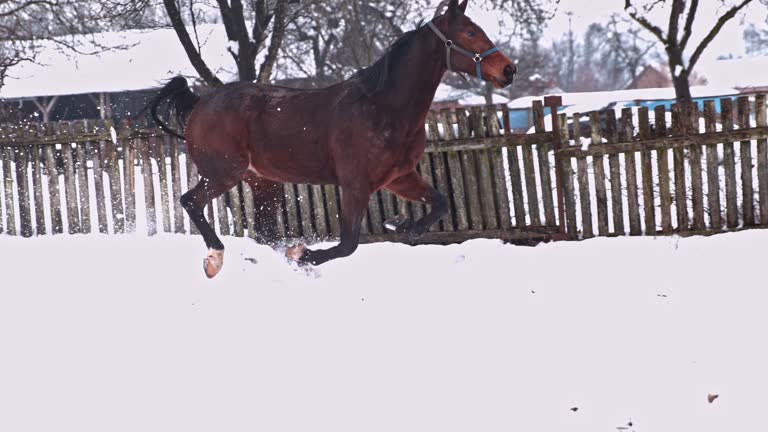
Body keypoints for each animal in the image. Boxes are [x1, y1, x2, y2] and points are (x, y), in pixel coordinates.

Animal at [146, 0, 516, 278]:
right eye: (470, 32)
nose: (508, 70)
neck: (383, 107)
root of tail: (200, 103)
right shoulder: (355, 184)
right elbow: (347, 244)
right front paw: (303, 255)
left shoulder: (399, 178)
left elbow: (440, 203)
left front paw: (404, 225)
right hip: (224, 173)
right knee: (190, 202)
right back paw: (216, 258)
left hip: (263, 183)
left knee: (264, 230)